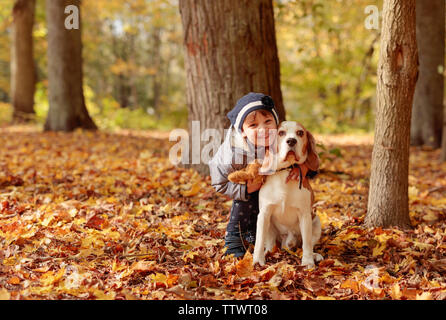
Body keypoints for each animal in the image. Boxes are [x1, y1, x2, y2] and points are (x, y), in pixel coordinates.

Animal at [253, 121, 322, 268]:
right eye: (281, 133)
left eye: (300, 133)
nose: (291, 141)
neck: (286, 170)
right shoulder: (264, 214)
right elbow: (259, 241)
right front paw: (257, 260)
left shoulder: (305, 215)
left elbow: (307, 243)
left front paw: (308, 262)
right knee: (271, 243)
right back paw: (268, 252)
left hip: (316, 220)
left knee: (308, 243)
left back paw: (314, 255)